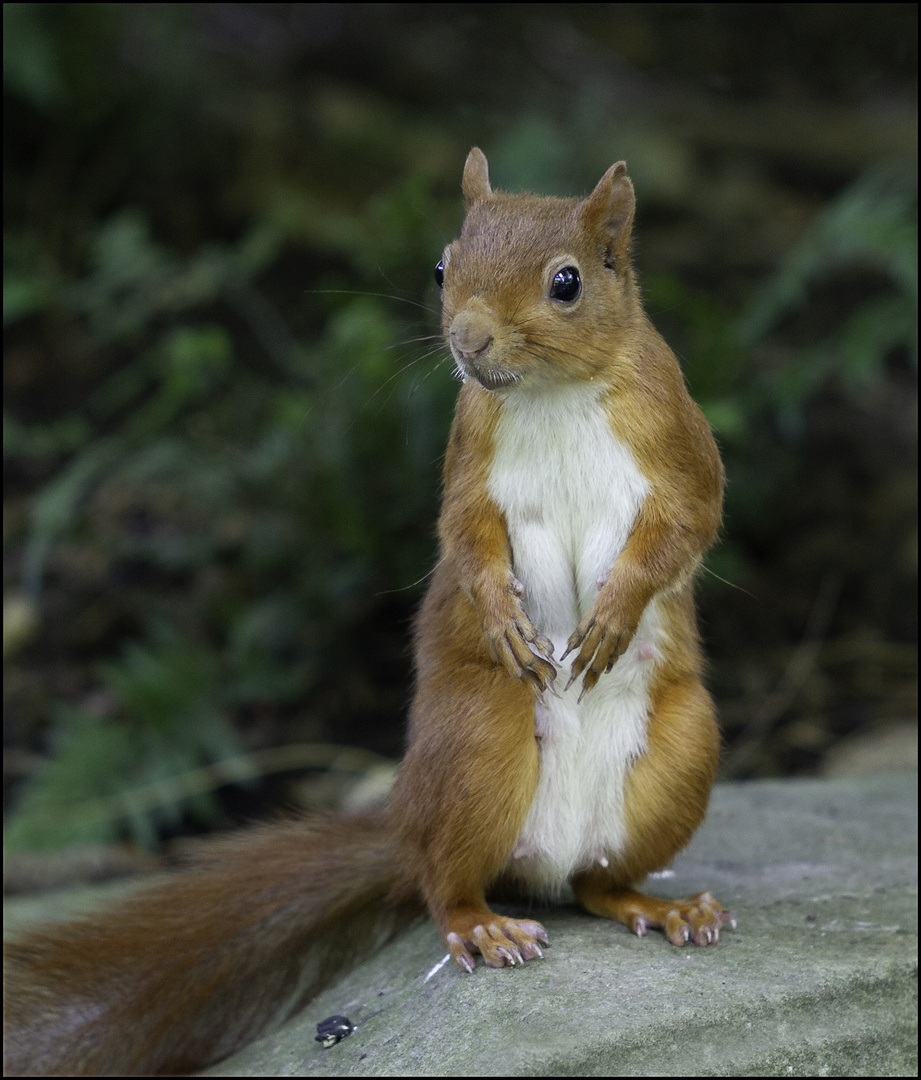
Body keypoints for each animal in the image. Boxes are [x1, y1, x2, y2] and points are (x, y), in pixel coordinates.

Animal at [3, 147, 729, 1075]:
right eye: (442, 268)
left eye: (566, 282)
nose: (467, 340)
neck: (552, 395)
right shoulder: (468, 458)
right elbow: (463, 540)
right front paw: (501, 618)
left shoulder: (676, 438)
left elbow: (688, 525)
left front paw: (613, 613)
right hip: (474, 741)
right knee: (444, 887)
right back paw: (484, 926)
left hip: (681, 751)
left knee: (598, 884)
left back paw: (663, 908)